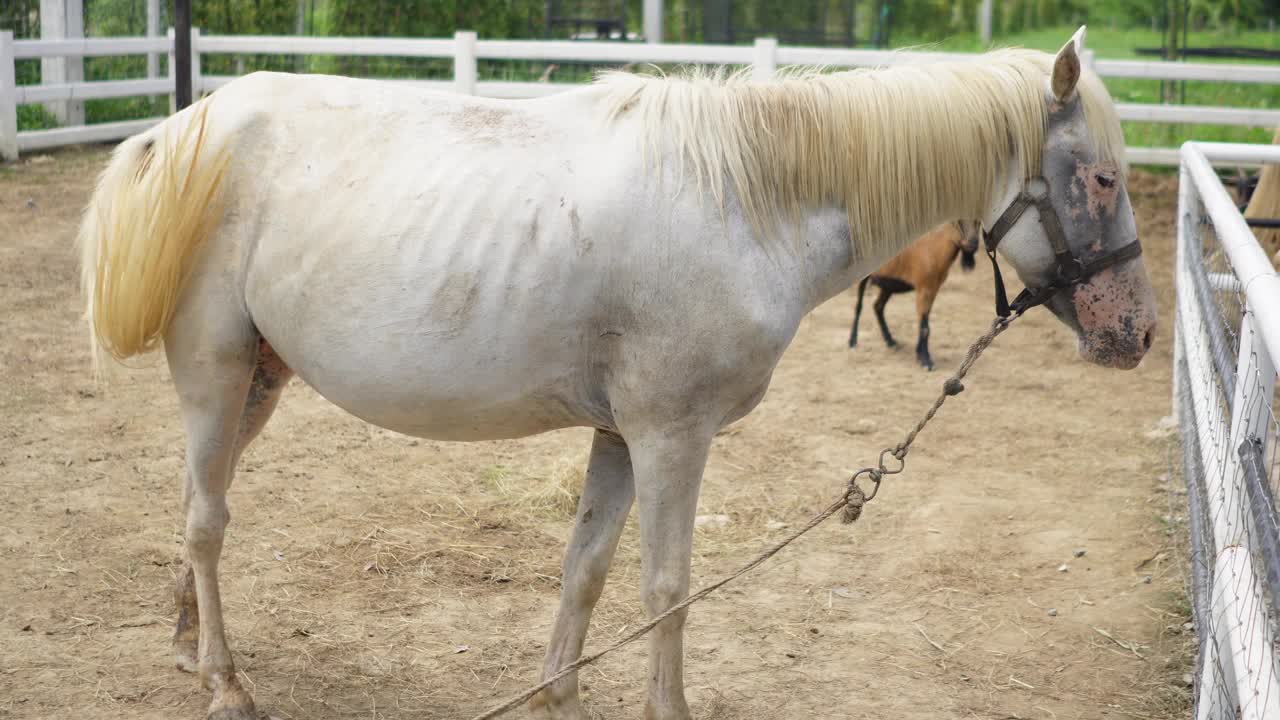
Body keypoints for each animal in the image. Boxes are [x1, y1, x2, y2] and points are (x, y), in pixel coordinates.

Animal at [80, 26, 1162, 717]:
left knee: (201, 505)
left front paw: (556, 690)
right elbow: (666, 586)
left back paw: (189, 644)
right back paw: (225, 683)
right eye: (1102, 177)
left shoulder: (616, 434)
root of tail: (185, 129)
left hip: (260, 381)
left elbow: (587, 568)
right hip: (217, 373)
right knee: (209, 522)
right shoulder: (671, 438)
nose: (1139, 333)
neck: (748, 202)